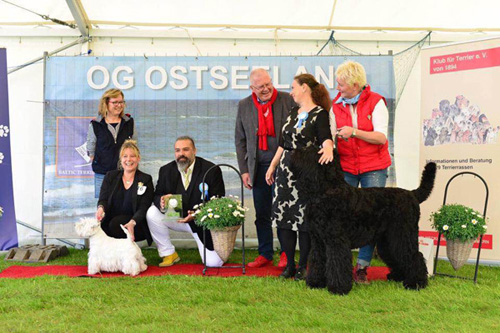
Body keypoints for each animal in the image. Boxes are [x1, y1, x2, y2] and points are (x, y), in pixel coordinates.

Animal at [292, 147, 436, 294]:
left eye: (308, 150)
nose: (293, 151)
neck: (327, 191)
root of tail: (412, 194)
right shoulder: (318, 241)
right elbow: (317, 261)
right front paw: (315, 283)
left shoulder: (336, 241)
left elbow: (337, 263)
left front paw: (338, 288)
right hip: (388, 240)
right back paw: (398, 276)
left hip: (403, 235)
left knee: (414, 256)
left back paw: (416, 283)